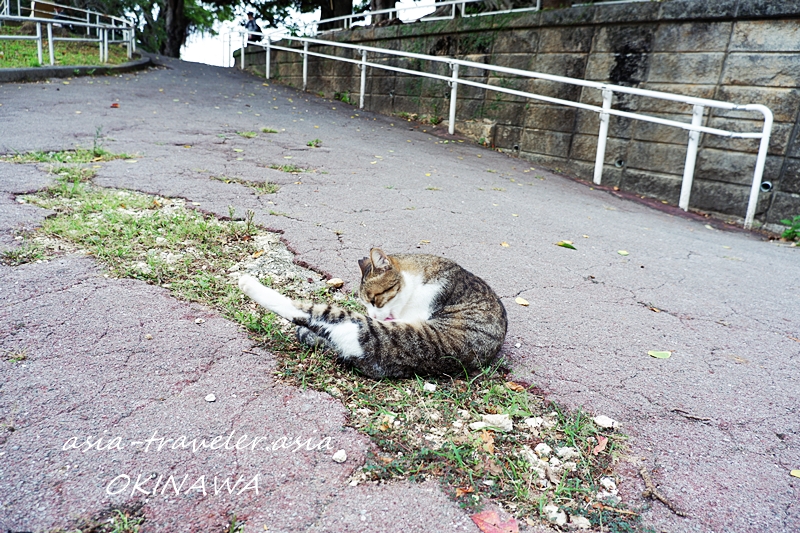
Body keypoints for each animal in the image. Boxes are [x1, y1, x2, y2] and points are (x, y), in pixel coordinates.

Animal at [238, 248, 510, 378]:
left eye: (374, 299)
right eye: (366, 303)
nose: (375, 315)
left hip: (362, 325)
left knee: (306, 310)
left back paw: (248, 283)